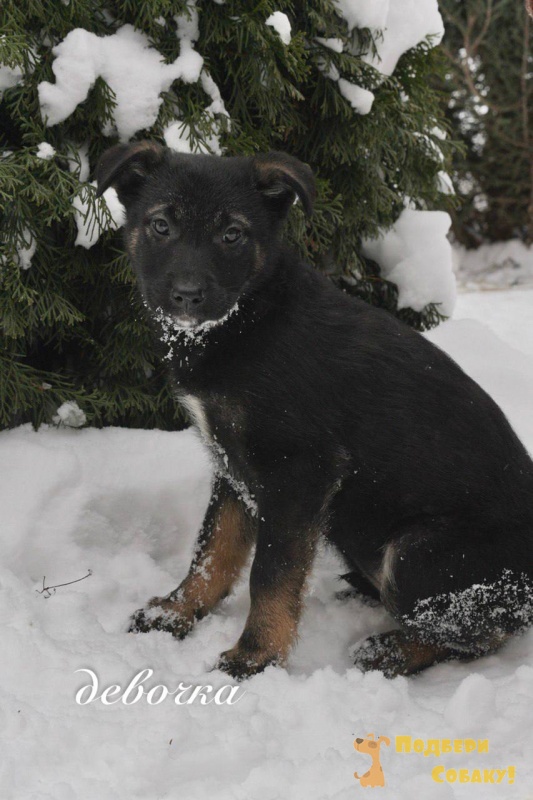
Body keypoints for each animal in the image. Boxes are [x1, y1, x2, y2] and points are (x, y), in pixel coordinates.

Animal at [96, 140, 533, 680]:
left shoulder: (299, 471)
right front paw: (178, 611)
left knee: (477, 632)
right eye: (161, 225)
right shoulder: (233, 464)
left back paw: (391, 650)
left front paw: (255, 656)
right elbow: (212, 548)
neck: (250, 320)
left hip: (419, 552)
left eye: (232, 234)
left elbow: (269, 573)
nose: (187, 297)